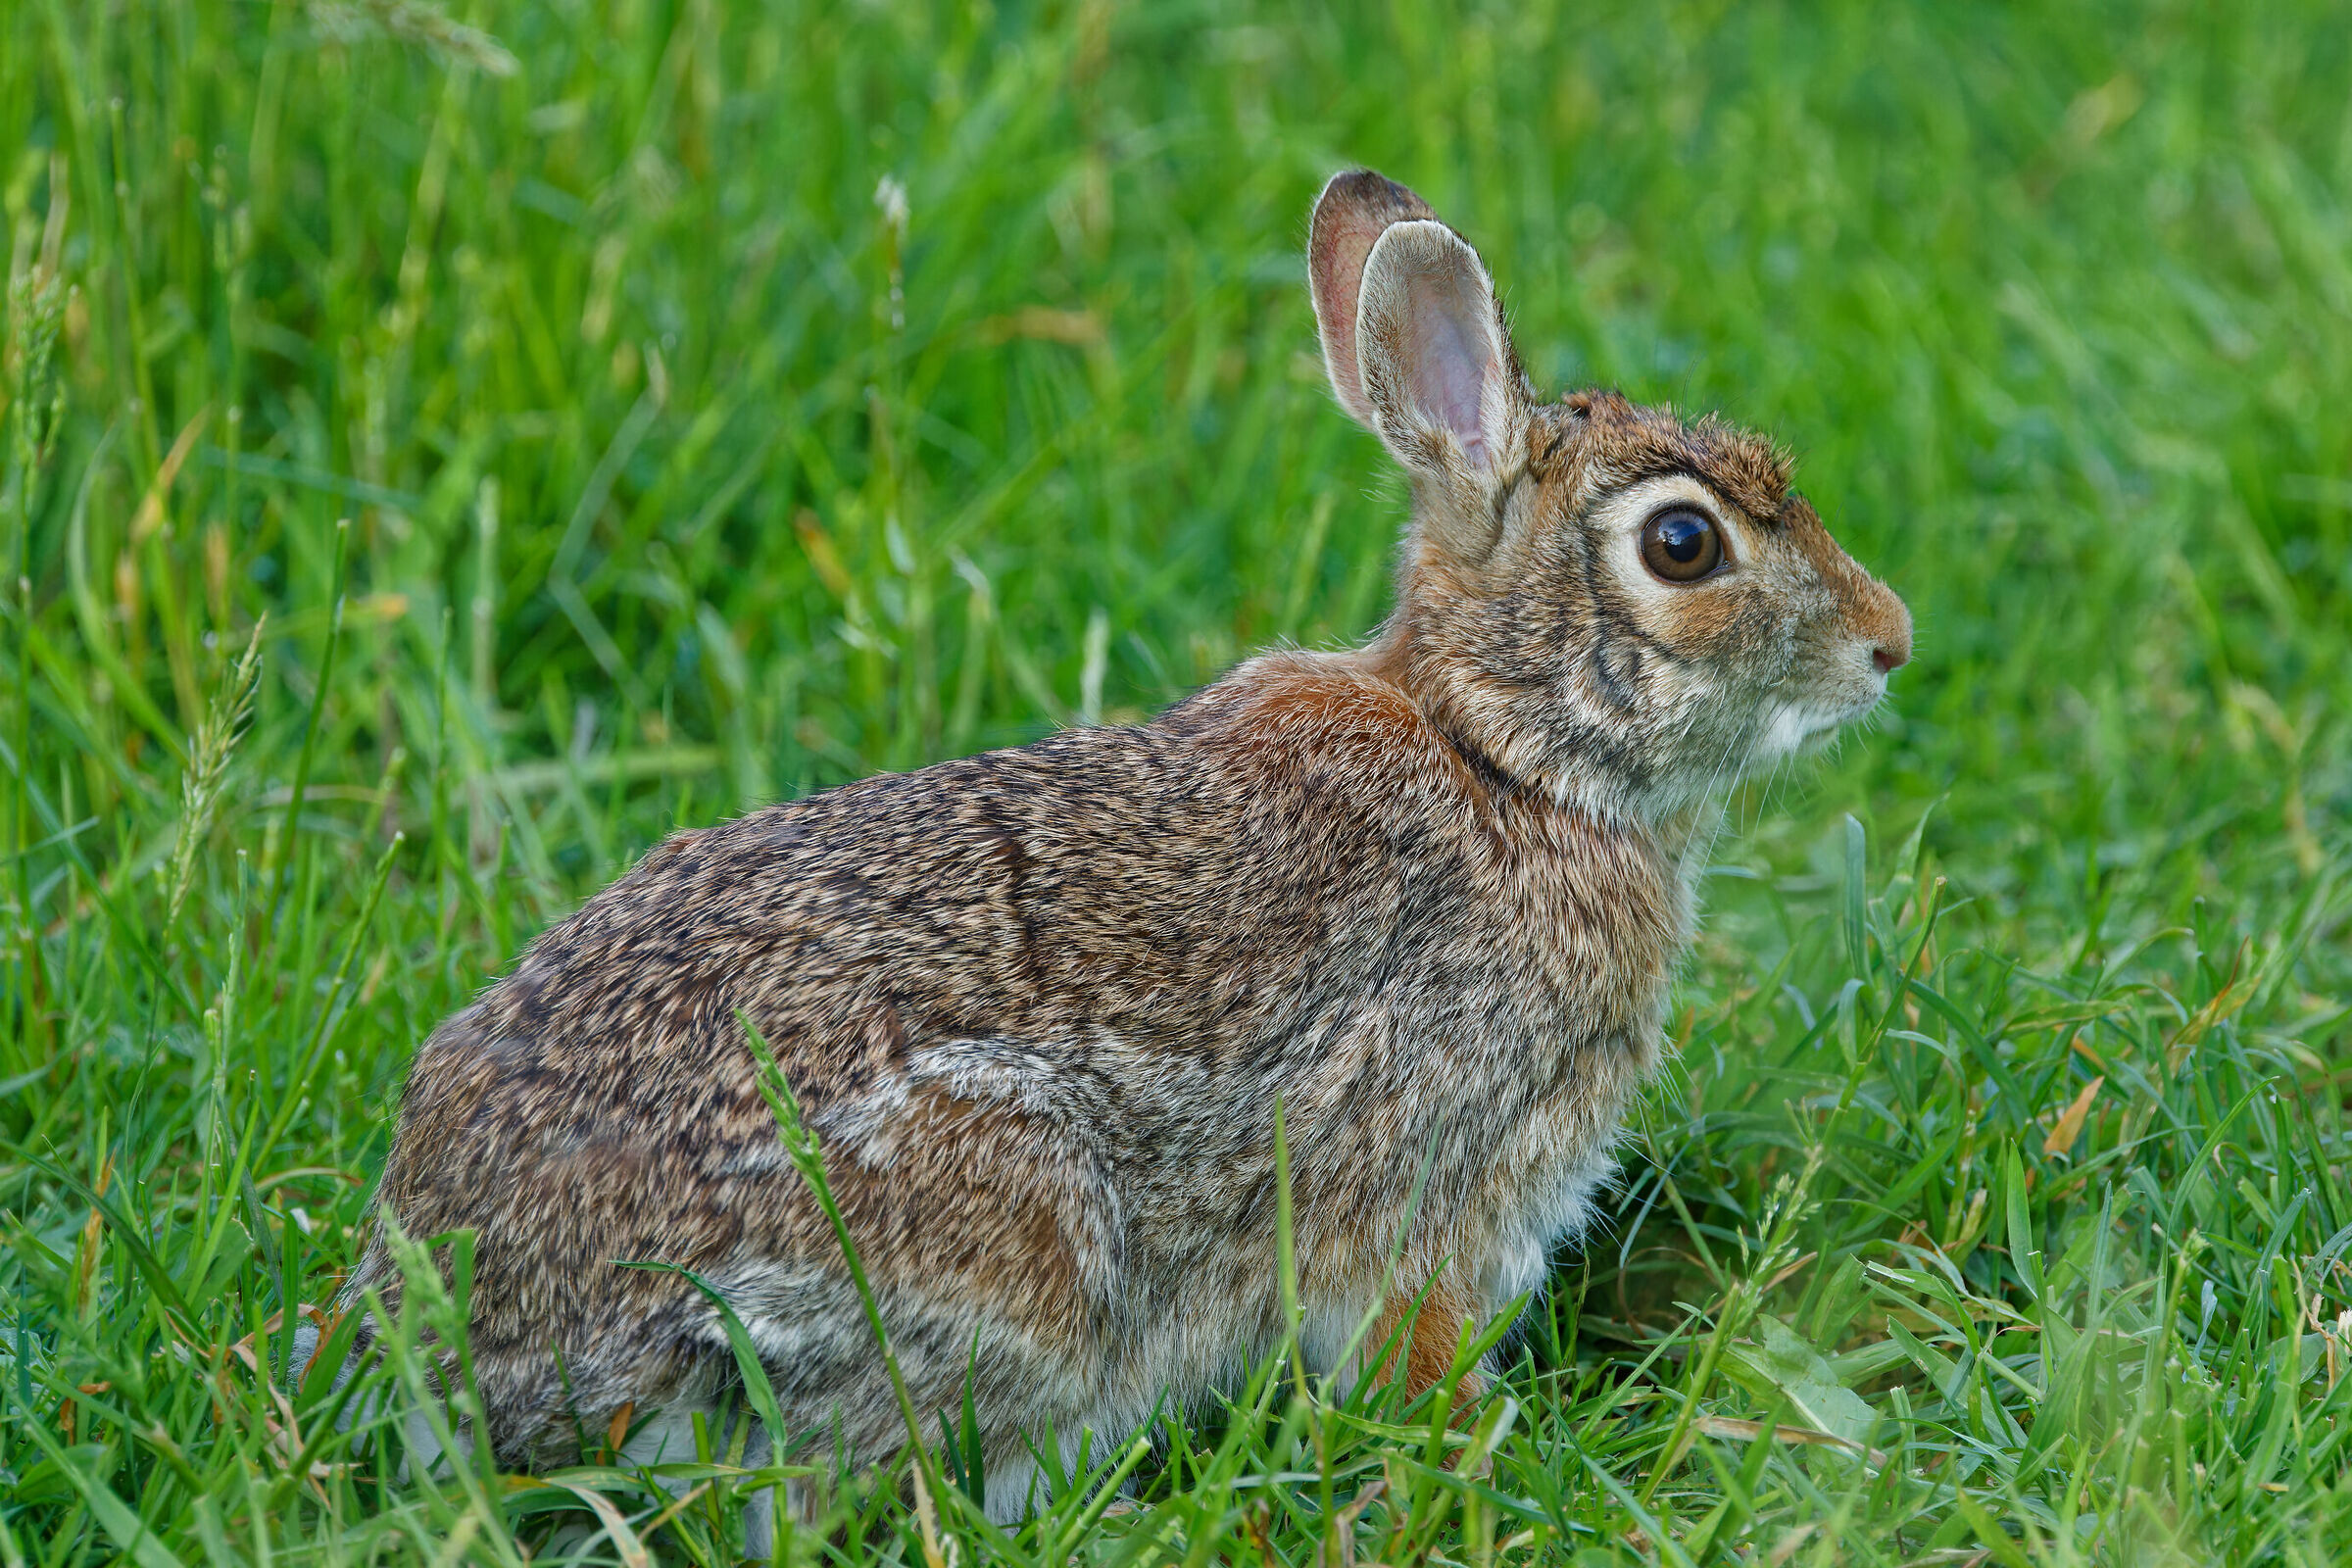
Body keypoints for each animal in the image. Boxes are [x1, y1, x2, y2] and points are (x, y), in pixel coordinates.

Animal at [328, 168, 1911, 1533]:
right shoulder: (1436, 1192)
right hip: (1001, 1238)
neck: (1507, 756)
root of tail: (484, 1346)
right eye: (1684, 546)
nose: (1888, 643)